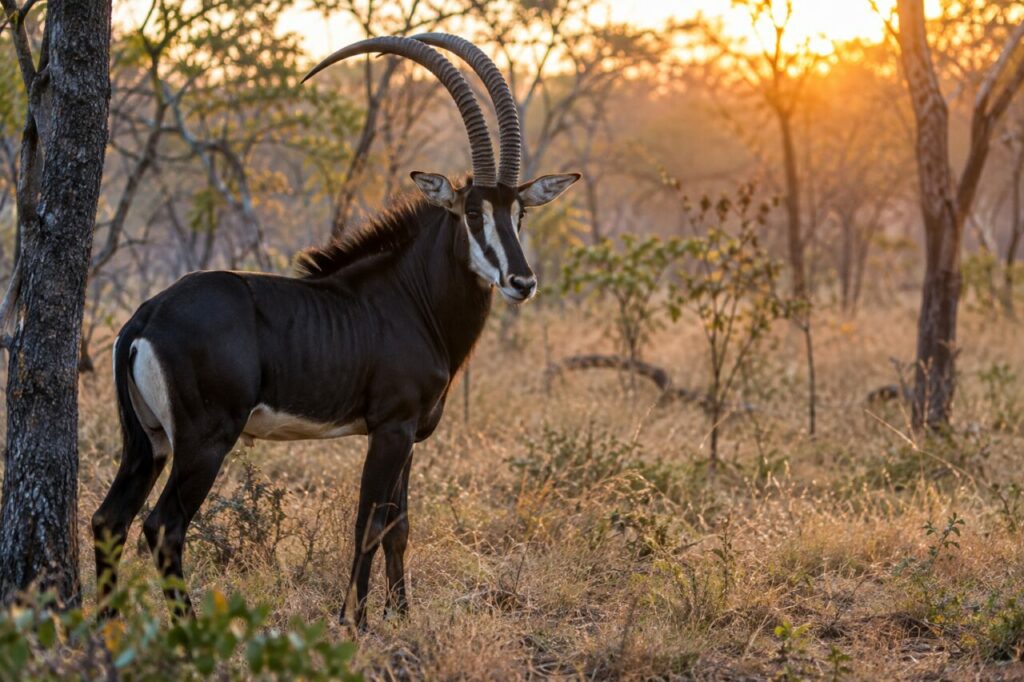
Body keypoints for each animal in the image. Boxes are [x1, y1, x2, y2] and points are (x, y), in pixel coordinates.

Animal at [91, 34, 580, 627]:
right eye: (470, 212)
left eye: (518, 214)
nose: (521, 281)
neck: (411, 297)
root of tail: (148, 316)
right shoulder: (389, 428)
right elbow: (369, 524)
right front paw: (356, 621)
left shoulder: (410, 434)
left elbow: (399, 526)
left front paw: (401, 617)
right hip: (204, 442)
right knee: (163, 526)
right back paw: (185, 630)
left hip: (149, 441)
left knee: (109, 520)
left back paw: (106, 629)